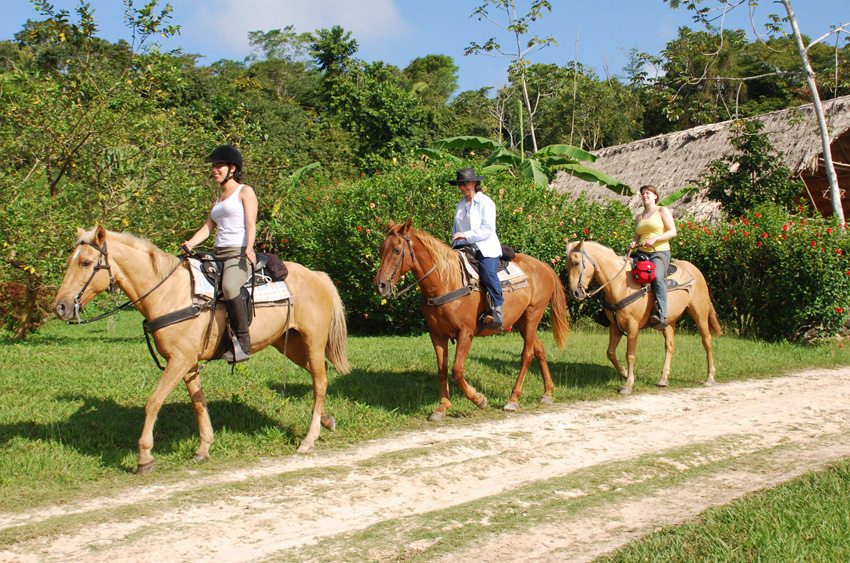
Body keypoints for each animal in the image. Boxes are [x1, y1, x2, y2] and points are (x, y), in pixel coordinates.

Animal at [51, 227, 350, 474]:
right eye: (69, 261)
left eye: (86, 262)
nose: (60, 307)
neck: (170, 293)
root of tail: (318, 276)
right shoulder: (187, 362)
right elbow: (199, 402)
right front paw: (204, 448)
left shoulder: (179, 361)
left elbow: (153, 402)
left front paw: (144, 457)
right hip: (291, 344)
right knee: (318, 376)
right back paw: (326, 421)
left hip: (312, 341)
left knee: (320, 382)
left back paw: (308, 439)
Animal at [372, 220, 568, 418]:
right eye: (381, 249)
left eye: (397, 250)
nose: (380, 285)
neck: (446, 282)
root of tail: (544, 267)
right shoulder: (437, 334)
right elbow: (442, 369)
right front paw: (442, 407)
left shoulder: (466, 333)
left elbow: (457, 370)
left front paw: (479, 399)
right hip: (522, 322)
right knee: (539, 350)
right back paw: (547, 393)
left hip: (532, 315)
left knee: (526, 355)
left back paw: (513, 399)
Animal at [568, 240, 720, 394]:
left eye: (576, 262)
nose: (575, 293)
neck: (621, 284)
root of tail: (696, 271)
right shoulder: (614, 326)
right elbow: (610, 352)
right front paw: (624, 373)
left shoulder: (633, 326)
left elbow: (630, 355)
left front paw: (628, 384)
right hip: (668, 322)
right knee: (669, 346)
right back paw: (663, 379)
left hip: (700, 315)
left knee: (707, 341)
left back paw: (710, 378)